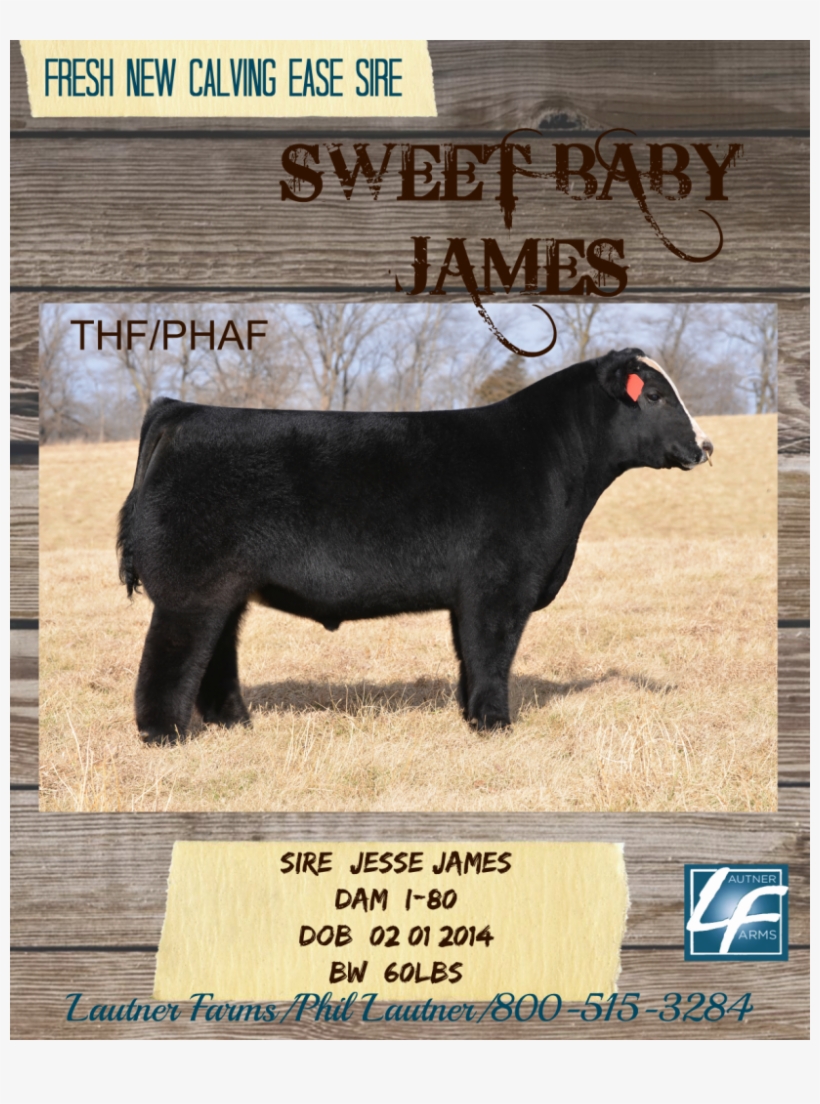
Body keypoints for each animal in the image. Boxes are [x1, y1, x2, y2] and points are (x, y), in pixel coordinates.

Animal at [117, 347, 713, 742]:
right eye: (654, 395)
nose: (705, 446)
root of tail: (181, 410)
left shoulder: (470, 594)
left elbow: (469, 656)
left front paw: (472, 717)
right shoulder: (501, 586)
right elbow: (492, 653)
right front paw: (496, 725)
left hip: (226, 588)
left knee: (216, 652)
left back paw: (237, 724)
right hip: (191, 589)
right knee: (169, 658)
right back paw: (164, 735)